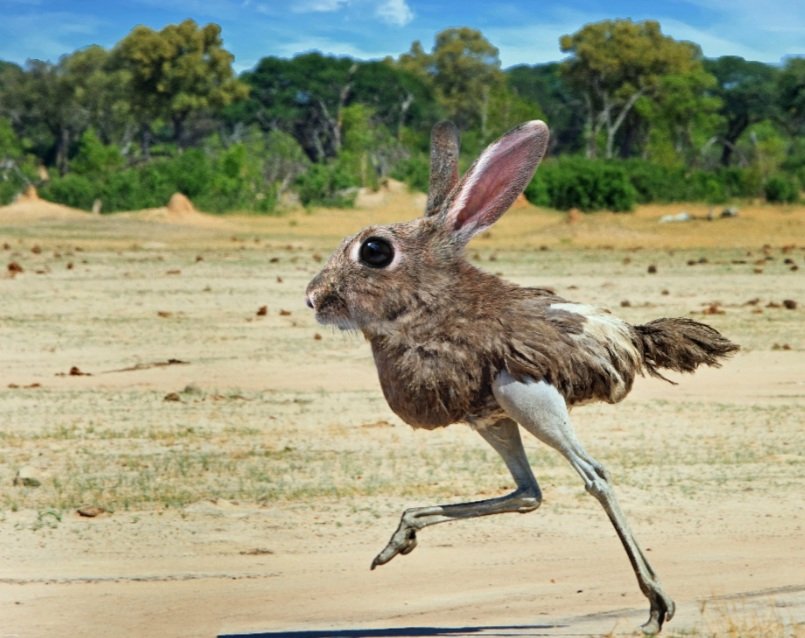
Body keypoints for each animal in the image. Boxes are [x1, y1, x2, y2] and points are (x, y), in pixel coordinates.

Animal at [305, 120, 738, 634]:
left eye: (374, 250)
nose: (313, 297)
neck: (432, 311)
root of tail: (630, 337)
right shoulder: (482, 416)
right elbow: (522, 492)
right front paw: (401, 536)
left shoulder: (513, 395)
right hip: (499, 414)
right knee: (530, 491)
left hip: (522, 395)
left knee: (595, 475)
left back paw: (657, 606)